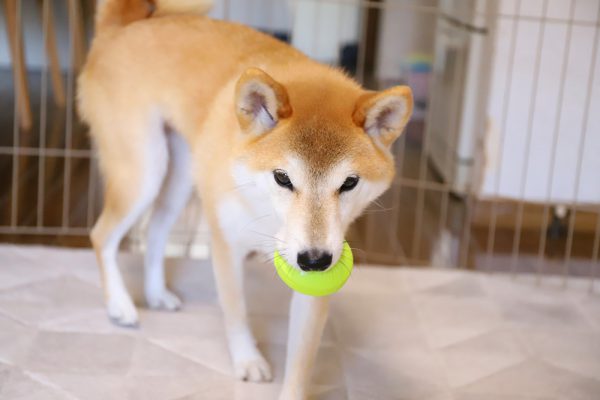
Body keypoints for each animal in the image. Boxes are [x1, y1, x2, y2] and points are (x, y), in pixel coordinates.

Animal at [77, 0, 412, 396]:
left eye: (349, 183)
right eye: (282, 178)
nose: (314, 260)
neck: (265, 212)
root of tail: (122, 27)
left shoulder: (319, 275)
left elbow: (301, 359)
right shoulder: (226, 243)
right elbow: (235, 311)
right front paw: (248, 361)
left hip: (179, 178)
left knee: (155, 231)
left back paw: (156, 293)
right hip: (145, 172)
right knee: (103, 235)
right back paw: (120, 305)